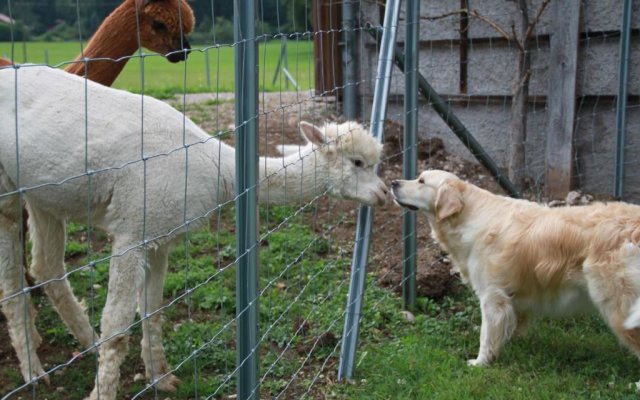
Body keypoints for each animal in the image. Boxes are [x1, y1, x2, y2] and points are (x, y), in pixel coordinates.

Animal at [392, 169, 640, 368]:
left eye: (421, 181)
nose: (394, 182)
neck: (469, 215)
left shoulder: (492, 296)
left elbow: (486, 335)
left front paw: (480, 363)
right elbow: (510, 326)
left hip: (619, 305)